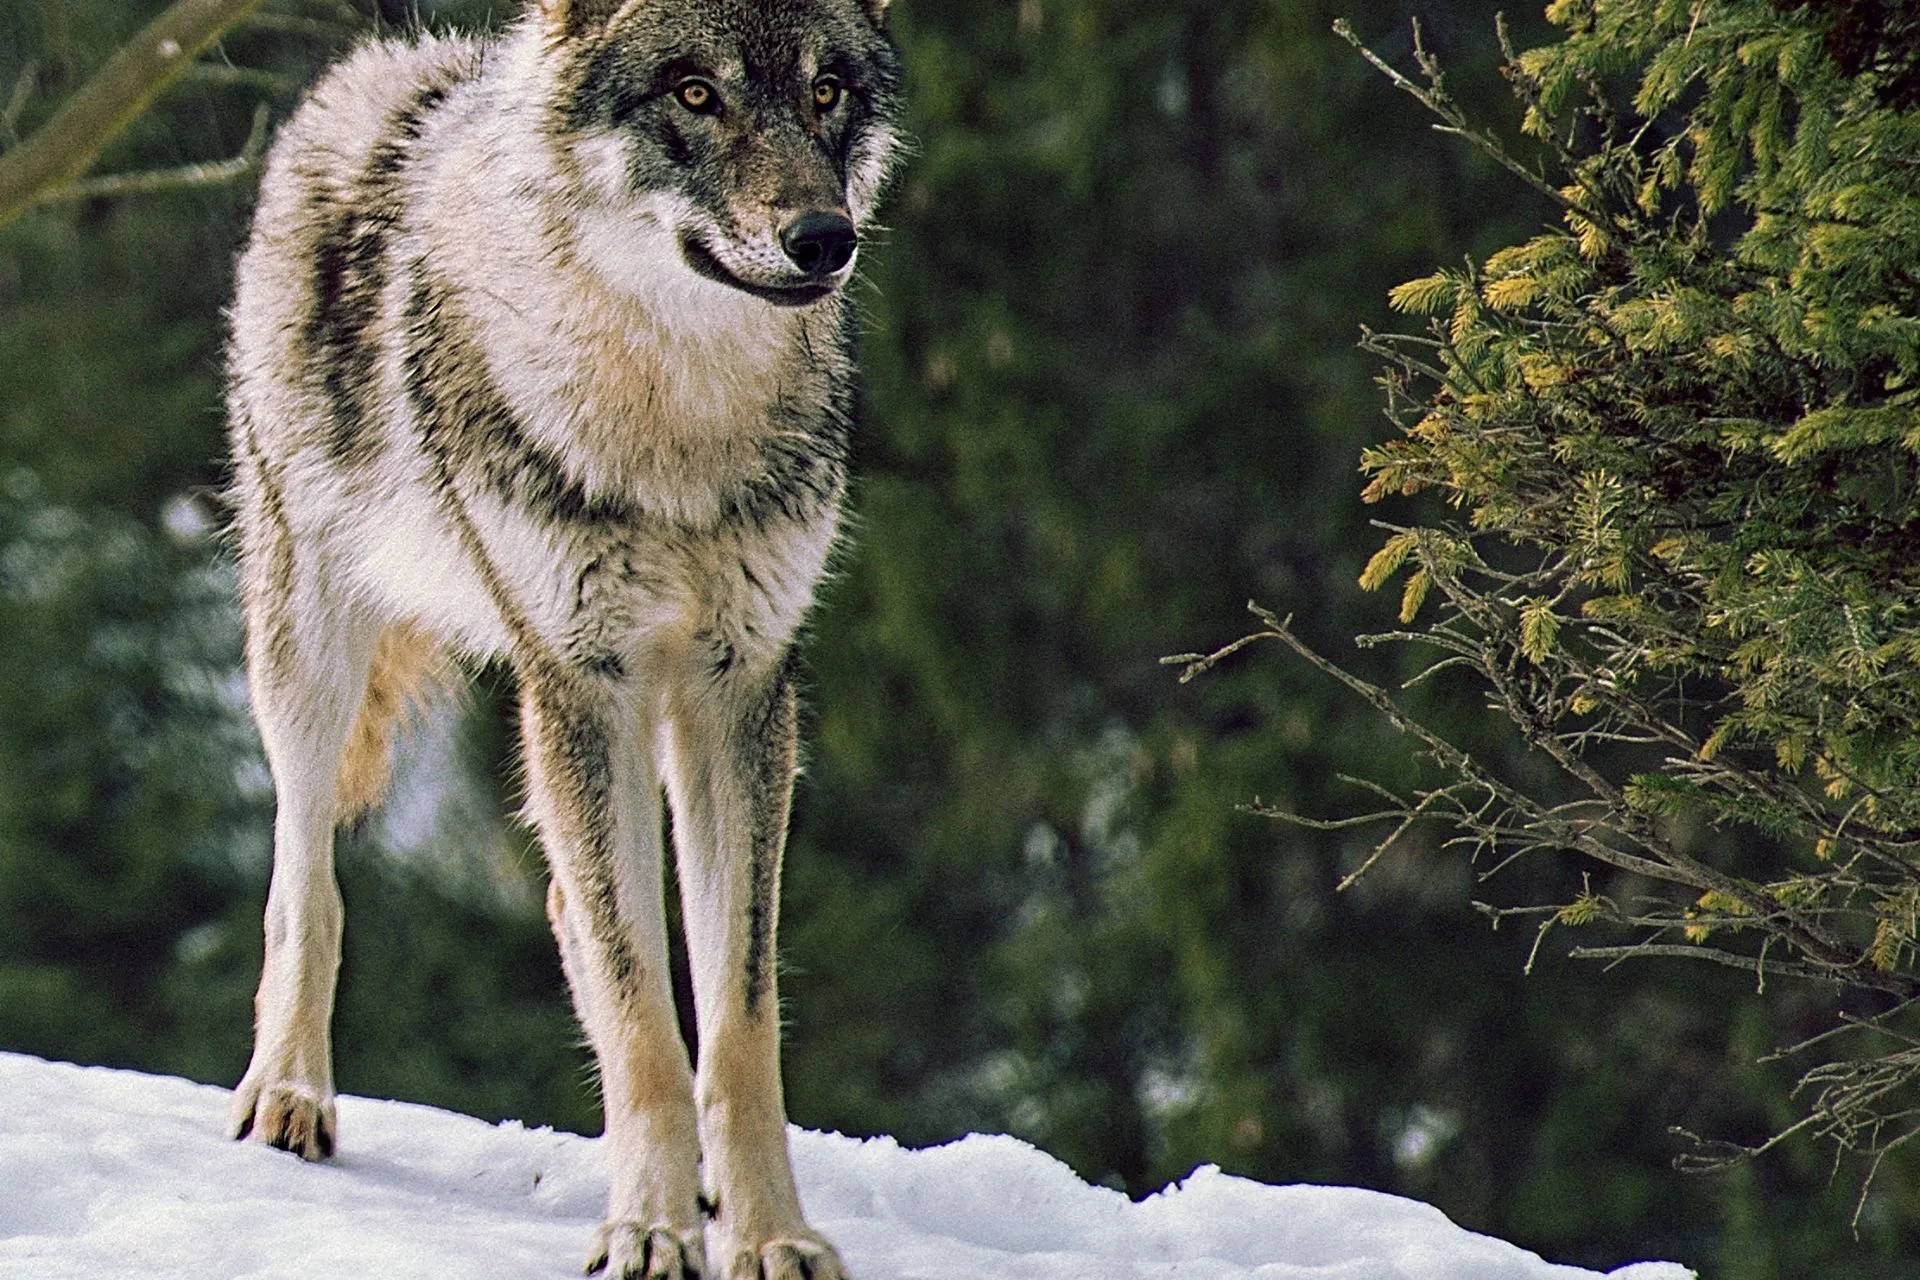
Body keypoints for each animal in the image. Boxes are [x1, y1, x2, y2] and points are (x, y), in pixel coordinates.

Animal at [221, 0, 902, 1275]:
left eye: (827, 90)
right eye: (695, 94)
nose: (824, 238)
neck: (676, 419)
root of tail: (373, 68)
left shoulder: (739, 691)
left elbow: (733, 1017)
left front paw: (766, 1230)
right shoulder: (586, 681)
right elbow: (643, 1013)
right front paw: (647, 1226)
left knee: (566, 909)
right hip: (310, 651)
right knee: (304, 877)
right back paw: (288, 1094)